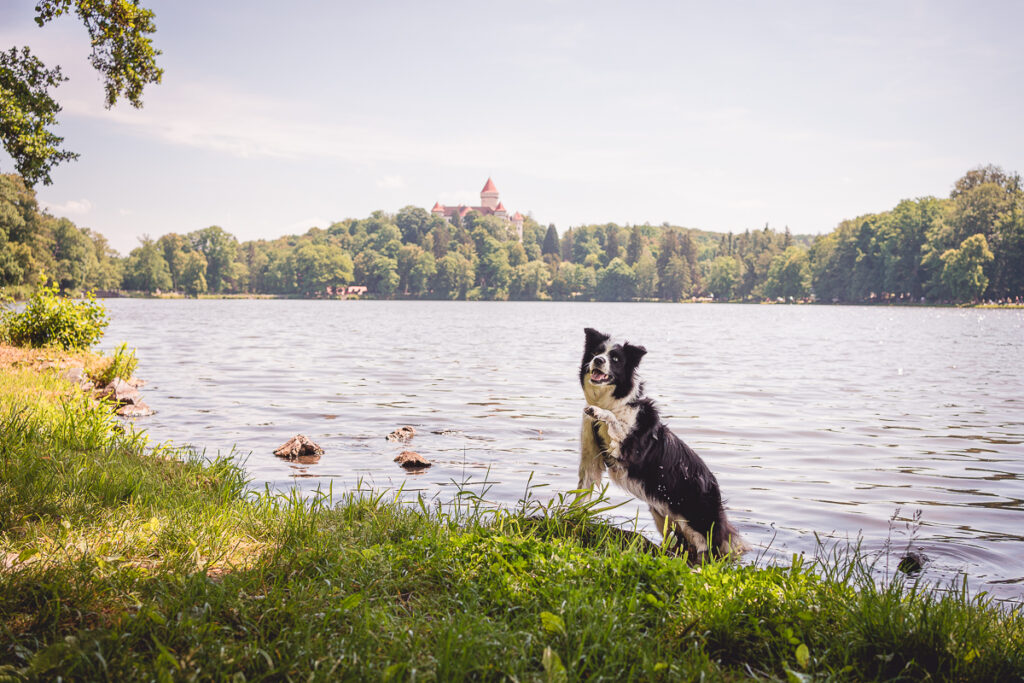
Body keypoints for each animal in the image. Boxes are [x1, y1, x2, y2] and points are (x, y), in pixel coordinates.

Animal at [577, 327, 745, 557]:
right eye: (596, 352)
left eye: (616, 359)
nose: (598, 360)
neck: (613, 401)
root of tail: (715, 490)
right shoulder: (591, 459)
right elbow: (582, 492)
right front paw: (569, 515)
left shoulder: (626, 450)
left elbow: (613, 421)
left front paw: (599, 412)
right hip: (665, 517)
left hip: (698, 523)